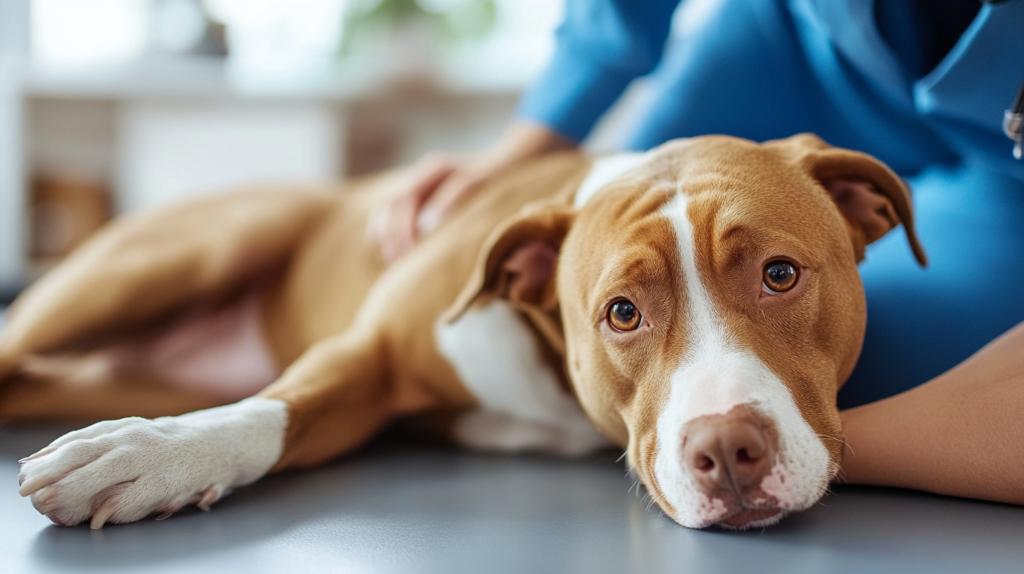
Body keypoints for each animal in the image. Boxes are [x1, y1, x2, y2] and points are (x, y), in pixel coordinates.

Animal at [0, 133, 929, 527]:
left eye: (780, 274)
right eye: (622, 313)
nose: (727, 449)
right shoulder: (365, 355)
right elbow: (271, 410)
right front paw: (149, 454)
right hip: (194, 251)